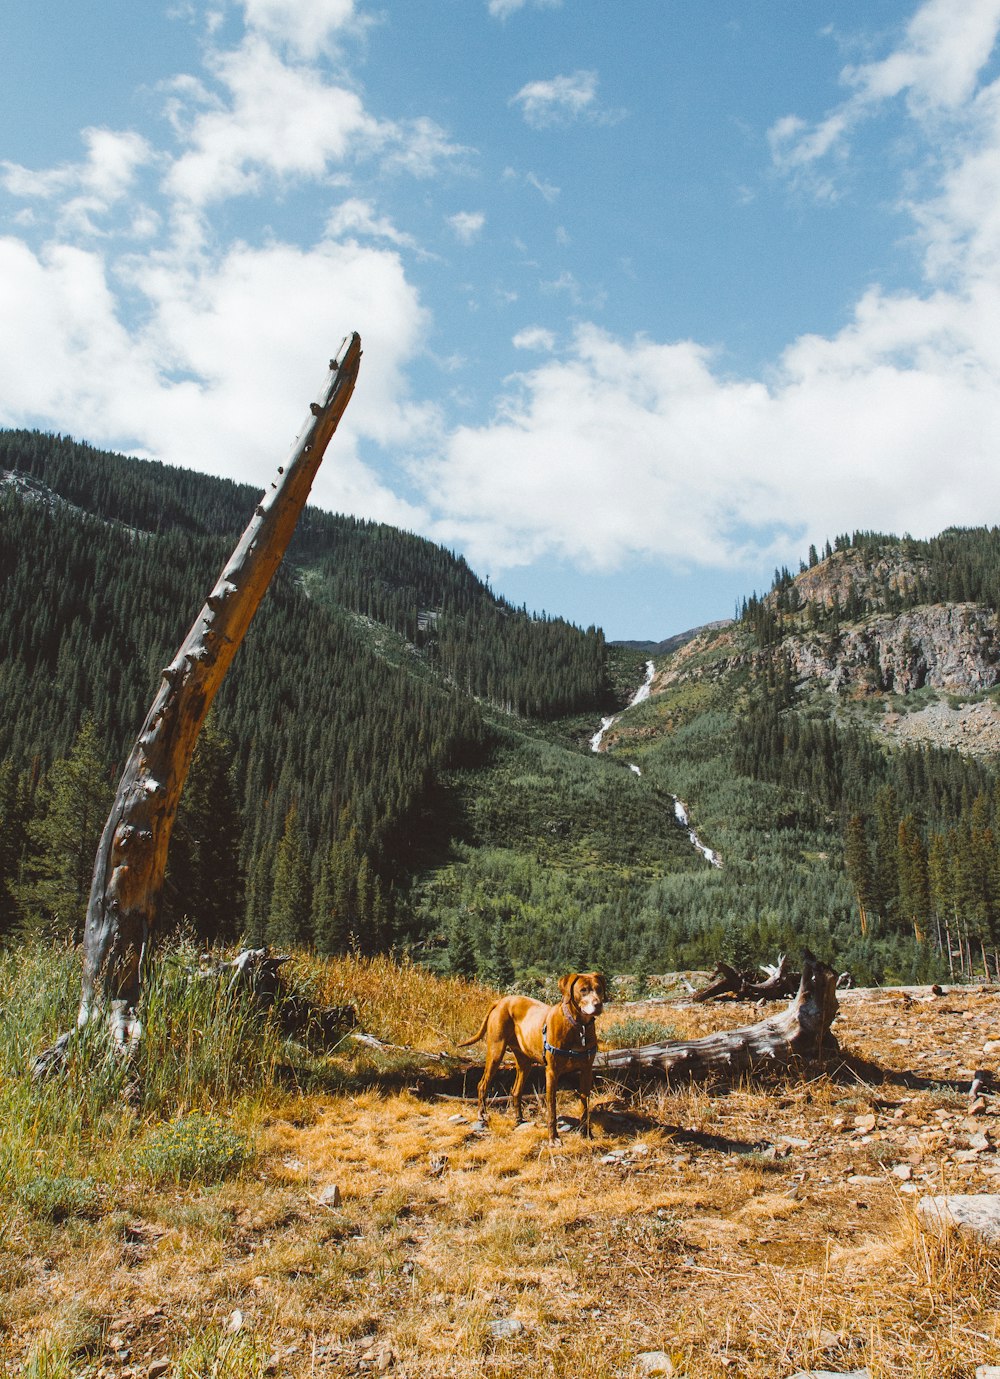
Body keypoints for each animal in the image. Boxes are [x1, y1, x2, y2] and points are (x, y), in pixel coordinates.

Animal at [455, 970, 604, 1141]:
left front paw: (586, 1133)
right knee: (482, 1084)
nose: (598, 1004)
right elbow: (552, 1109)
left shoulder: (586, 1070)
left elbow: (585, 1105)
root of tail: (500, 1001)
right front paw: (553, 1138)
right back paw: (482, 1114)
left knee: (516, 1090)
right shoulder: (552, 1072)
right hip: (495, 1052)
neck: (578, 1026)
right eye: (583, 990)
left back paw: (519, 1118)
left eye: (599, 989)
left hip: (524, 1062)